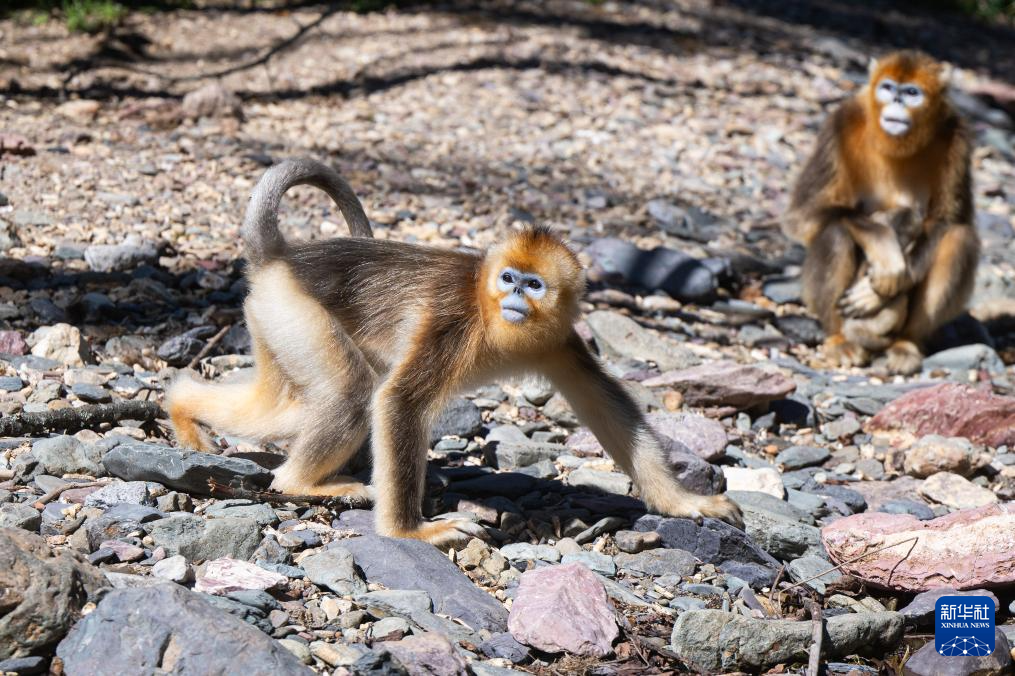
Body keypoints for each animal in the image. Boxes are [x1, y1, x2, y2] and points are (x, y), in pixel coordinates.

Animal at [168, 156, 747, 544]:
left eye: (534, 285)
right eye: (509, 278)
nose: (515, 297)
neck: (492, 318)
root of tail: (280, 260)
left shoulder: (559, 341)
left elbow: (610, 411)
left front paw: (684, 502)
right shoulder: (454, 321)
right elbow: (398, 402)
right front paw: (410, 534)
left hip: (271, 320)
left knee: (286, 406)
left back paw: (181, 407)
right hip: (292, 310)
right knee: (354, 394)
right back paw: (303, 482)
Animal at [783, 49, 974, 371]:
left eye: (911, 93)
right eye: (887, 88)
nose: (896, 100)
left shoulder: (957, 136)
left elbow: (946, 220)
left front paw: (877, 292)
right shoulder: (840, 123)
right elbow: (805, 214)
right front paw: (884, 251)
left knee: (958, 239)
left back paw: (907, 343)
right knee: (835, 231)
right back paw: (839, 339)